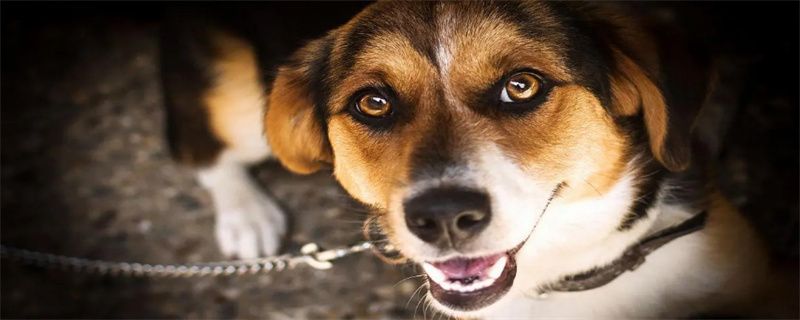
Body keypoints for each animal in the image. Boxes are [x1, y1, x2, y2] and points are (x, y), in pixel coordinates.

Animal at [161, 1, 792, 318]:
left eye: (521, 85)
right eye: (373, 102)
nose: (442, 217)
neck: (566, 280)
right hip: (246, 106)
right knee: (196, 143)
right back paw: (245, 215)